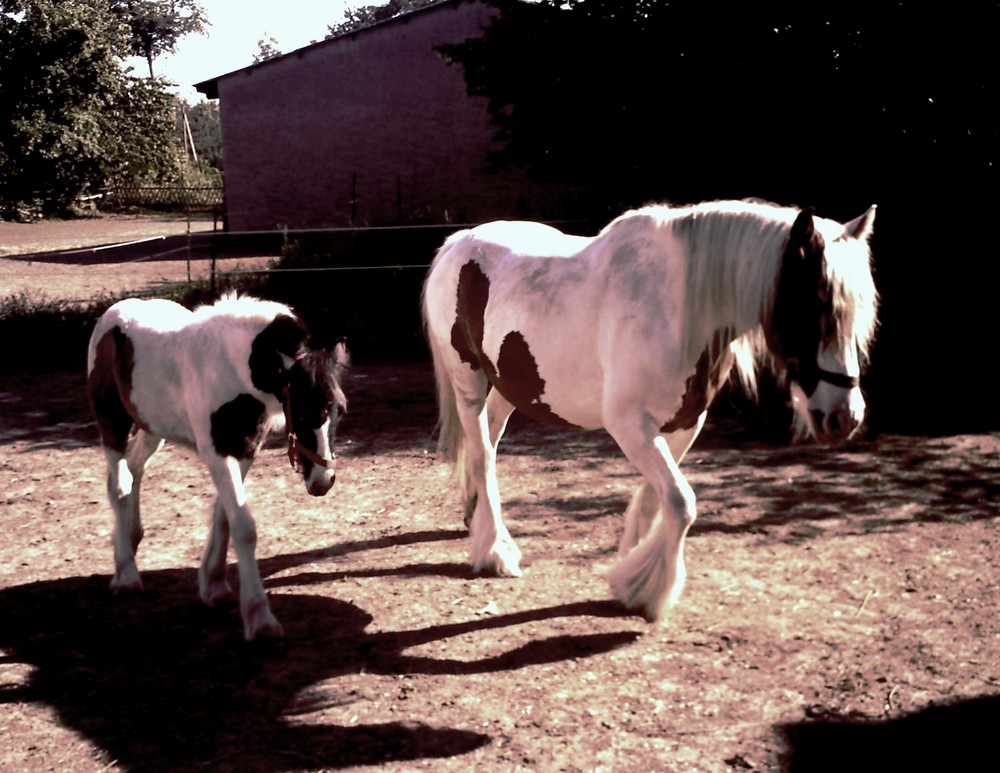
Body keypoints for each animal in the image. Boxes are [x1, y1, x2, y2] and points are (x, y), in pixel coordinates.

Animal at [87, 296, 352, 640]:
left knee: (133, 470)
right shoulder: (217, 453)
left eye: (339, 410)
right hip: (112, 422)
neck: (232, 368)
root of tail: (113, 313)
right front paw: (259, 617)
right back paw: (126, 573)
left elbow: (223, 515)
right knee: (118, 485)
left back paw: (130, 541)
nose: (323, 480)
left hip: (152, 428)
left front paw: (213, 585)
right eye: (304, 411)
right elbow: (243, 526)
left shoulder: (246, 449)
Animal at [422, 198, 876, 620]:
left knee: (488, 445)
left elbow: (654, 501)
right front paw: (644, 589)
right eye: (813, 306)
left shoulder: (683, 425)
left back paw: (478, 519)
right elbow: (680, 501)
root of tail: (457, 242)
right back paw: (495, 551)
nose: (845, 417)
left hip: (507, 387)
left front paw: (631, 567)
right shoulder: (630, 426)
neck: (679, 307)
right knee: (481, 456)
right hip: (468, 380)